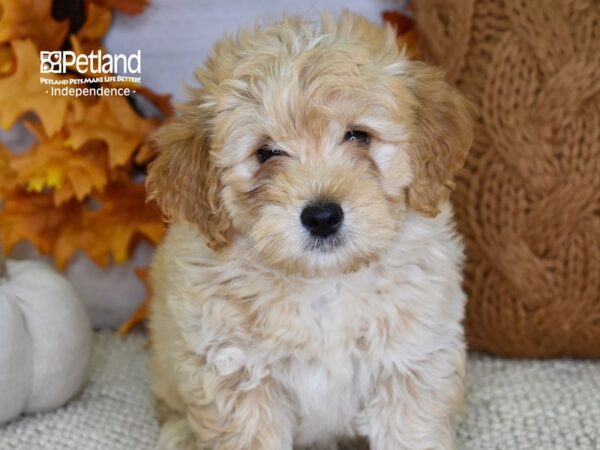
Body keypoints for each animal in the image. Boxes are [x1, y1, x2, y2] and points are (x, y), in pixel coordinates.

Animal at [146, 11, 474, 450]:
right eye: (266, 153)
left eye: (359, 136)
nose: (322, 216)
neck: (324, 282)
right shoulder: (237, 371)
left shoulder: (412, 362)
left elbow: (409, 432)